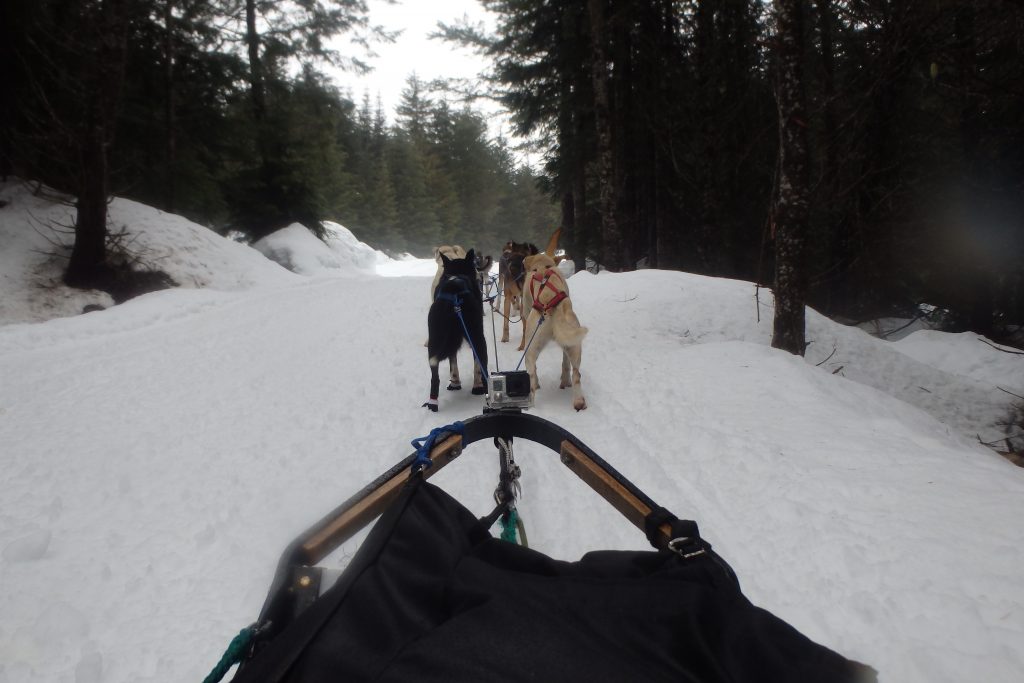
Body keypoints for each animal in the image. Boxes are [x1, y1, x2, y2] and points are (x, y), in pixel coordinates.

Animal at [423, 250, 487, 411]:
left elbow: (453, 363)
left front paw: (455, 383)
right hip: (477, 337)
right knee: (481, 366)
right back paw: (482, 388)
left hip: (434, 341)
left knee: (435, 378)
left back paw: (433, 403)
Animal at [524, 250, 589, 411]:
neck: (542, 267)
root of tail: (548, 302)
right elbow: (565, 363)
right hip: (573, 344)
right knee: (576, 374)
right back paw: (578, 401)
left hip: (529, 349)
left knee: (532, 376)